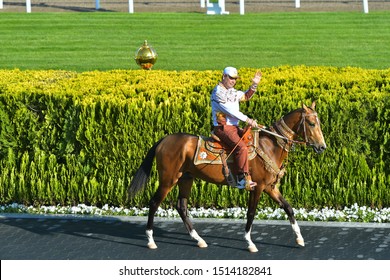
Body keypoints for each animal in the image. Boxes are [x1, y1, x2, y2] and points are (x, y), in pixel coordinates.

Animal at [128, 101, 326, 253]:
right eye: (311, 123)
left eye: (319, 122)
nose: (322, 147)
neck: (269, 145)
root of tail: (163, 140)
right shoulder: (257, 187)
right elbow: (251, 213)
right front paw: (249, 242)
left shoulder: (270, 187)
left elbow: (288, 208)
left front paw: (299, 239)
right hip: (168, 179)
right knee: (154, 203)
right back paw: (150, 240)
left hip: (186, 178)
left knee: (181, 207)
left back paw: (198, 239)